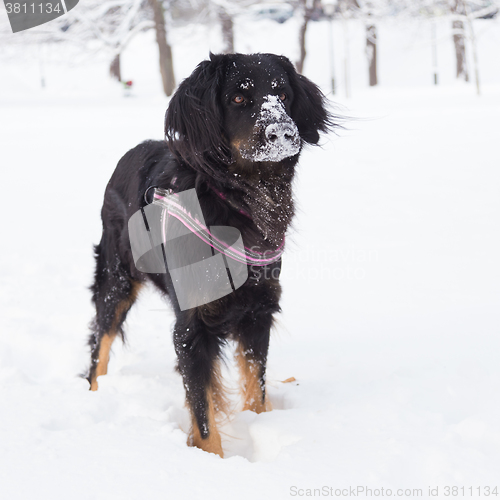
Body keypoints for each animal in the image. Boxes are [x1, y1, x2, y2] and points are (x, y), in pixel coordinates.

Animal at [88, 52, 334, 456]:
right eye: (238, 98)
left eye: (282, 93)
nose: (283, 132)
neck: (238, 203)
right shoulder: (192, 327)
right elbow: (203, 414)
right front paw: (212, 458)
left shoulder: (258, 312)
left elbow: (255, 387)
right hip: (116, 277)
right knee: (100, 341)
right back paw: (94, 393)